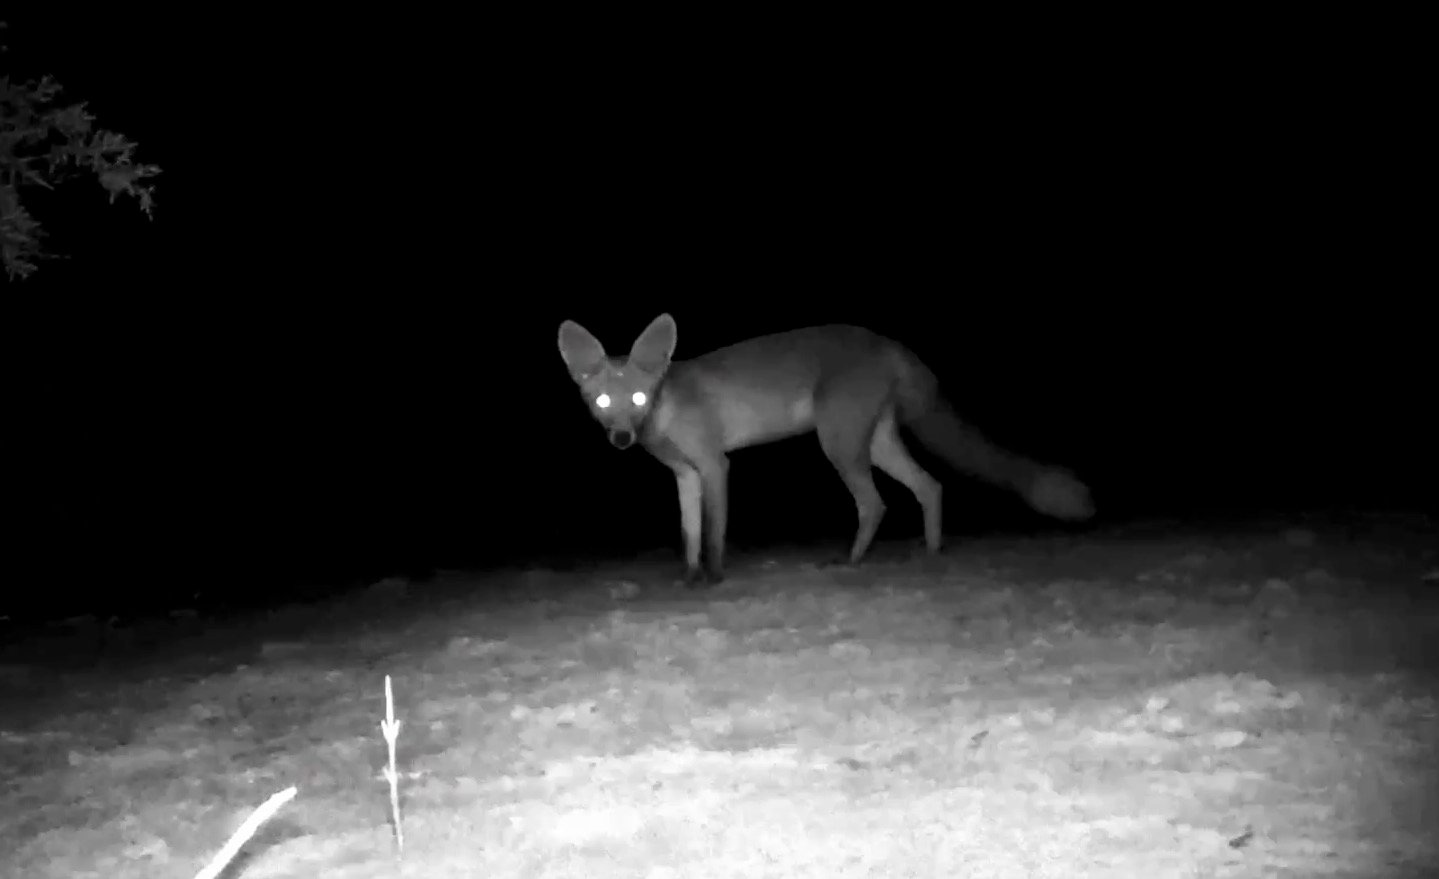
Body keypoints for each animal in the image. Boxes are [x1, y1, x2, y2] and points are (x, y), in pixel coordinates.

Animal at [557, 314, 1094, 587]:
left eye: (638, 399)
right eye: (603, 402)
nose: (622, 438)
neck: (666, 409)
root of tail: (890, 342)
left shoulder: (714, 465)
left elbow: (713, 533)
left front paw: (713, 577)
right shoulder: (684, 475)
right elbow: (688, 532)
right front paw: (689, 578)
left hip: (838, 444)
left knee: (876, 503)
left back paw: (853, 563)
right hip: (874, 442)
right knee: (931, 487)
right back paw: (931, 554)